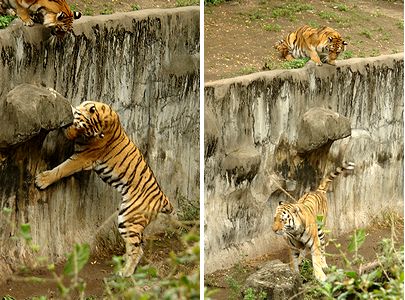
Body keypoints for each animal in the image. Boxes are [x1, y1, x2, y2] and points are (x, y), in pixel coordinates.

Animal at [34, 101, 174, 276]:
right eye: (81, 129)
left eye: (85, 132)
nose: (70, 135)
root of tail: (163, 198)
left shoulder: (83, 158)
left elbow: (62, 169)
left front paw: (42, 180)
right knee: (136, 245)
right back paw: (123, 261)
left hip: (128, 218)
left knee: (137, 250)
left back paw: (125, 272)